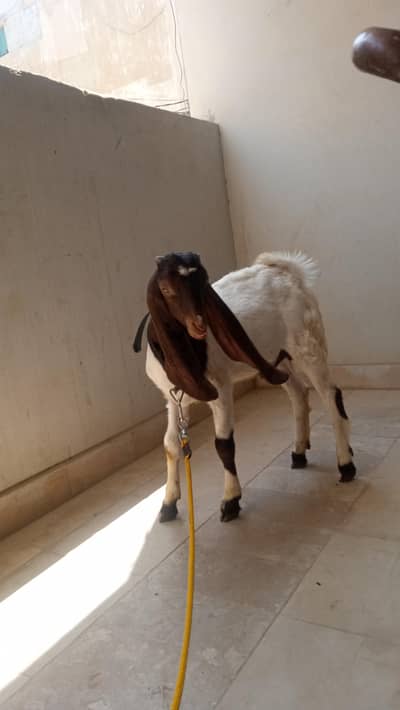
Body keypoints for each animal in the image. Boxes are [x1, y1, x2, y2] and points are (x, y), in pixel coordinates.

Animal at [139, 251, 356, 523]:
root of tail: (288, 271)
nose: (199, 324)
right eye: (166, 289)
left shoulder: (221, 390)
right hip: (279, 359)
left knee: (330, 395)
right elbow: (170, 445)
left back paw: (346, 464)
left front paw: (231, 501)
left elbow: (223, 444)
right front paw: (168, 504)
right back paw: (299, 452)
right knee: (298, 395)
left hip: (308, 345)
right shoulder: (172, 400)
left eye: (204, 282)